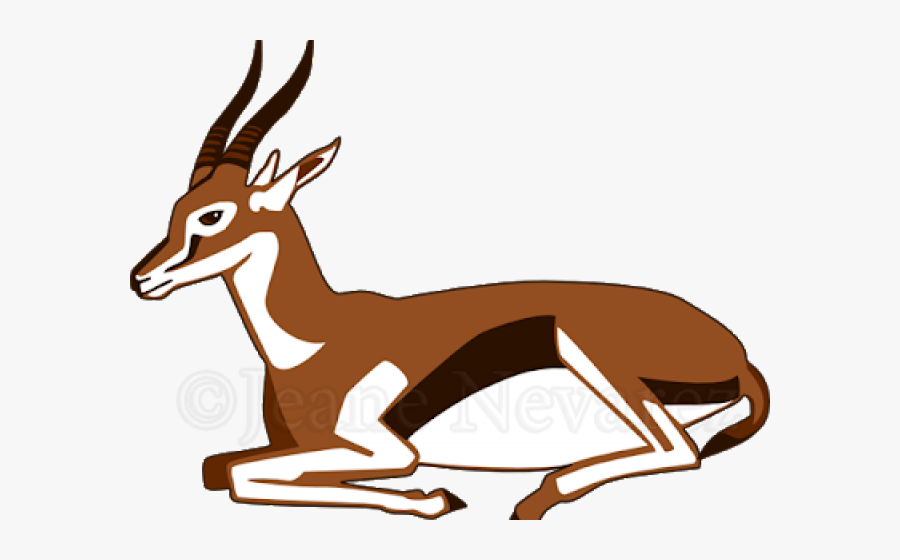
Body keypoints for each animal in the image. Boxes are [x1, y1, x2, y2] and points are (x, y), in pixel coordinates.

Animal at [131, 40, 770, 520]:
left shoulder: (382, 447)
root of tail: (736, 352)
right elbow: (219, 469)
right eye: (179, 206)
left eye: (213, 215)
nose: (142, 278)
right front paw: (435, 497)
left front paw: (433, 498)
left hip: (589, 348)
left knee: (681, 448)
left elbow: (242, 475)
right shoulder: (298, 447)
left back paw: (537, 497)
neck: (313, 342)